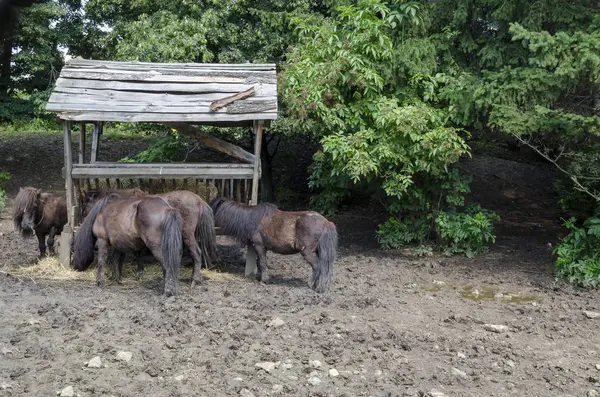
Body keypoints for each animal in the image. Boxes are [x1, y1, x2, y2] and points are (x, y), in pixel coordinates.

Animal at [82, 188, 216, 284]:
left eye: (86, 206)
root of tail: (199, 200)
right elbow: (132, 255)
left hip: (187, 235)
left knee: (196, 253)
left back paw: (195, 279)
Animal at [210, 197, 338, 292]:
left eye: (212, 207)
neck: (253, 219)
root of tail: (326, 222)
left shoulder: (259, 246)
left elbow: (262, 263)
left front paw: (264, 280)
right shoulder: (261, 248)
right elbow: (259, 262)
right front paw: (259, 277)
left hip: (307, 252)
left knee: (317, 266)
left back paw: (312, 285)